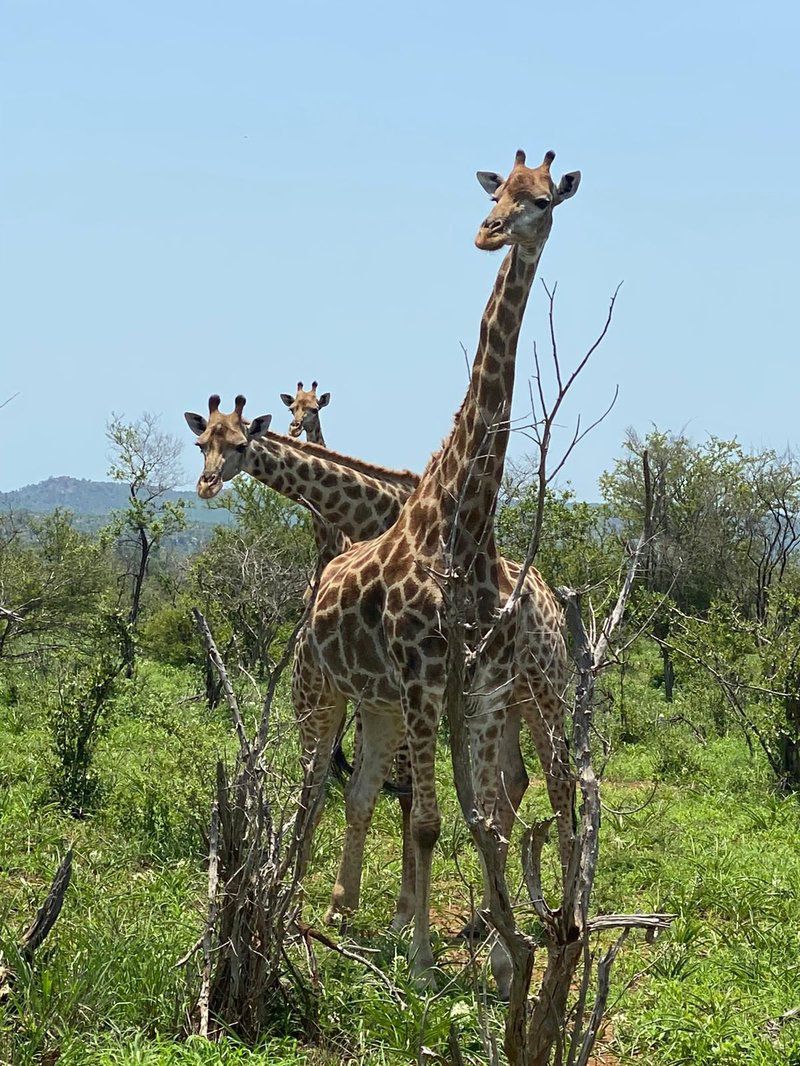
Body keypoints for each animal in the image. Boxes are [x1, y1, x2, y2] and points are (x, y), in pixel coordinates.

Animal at [292, 148, 580, 976]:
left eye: (543, 201)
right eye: (499, 191)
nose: (489, 233)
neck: (464, 524)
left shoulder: (475, 686)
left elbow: (480, 815)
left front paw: (503, 957)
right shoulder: (424, 678)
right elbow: (425, 821)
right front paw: (419, 959)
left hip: (398, 701)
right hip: (321, 691)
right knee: (305, 795)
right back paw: (290, 912)